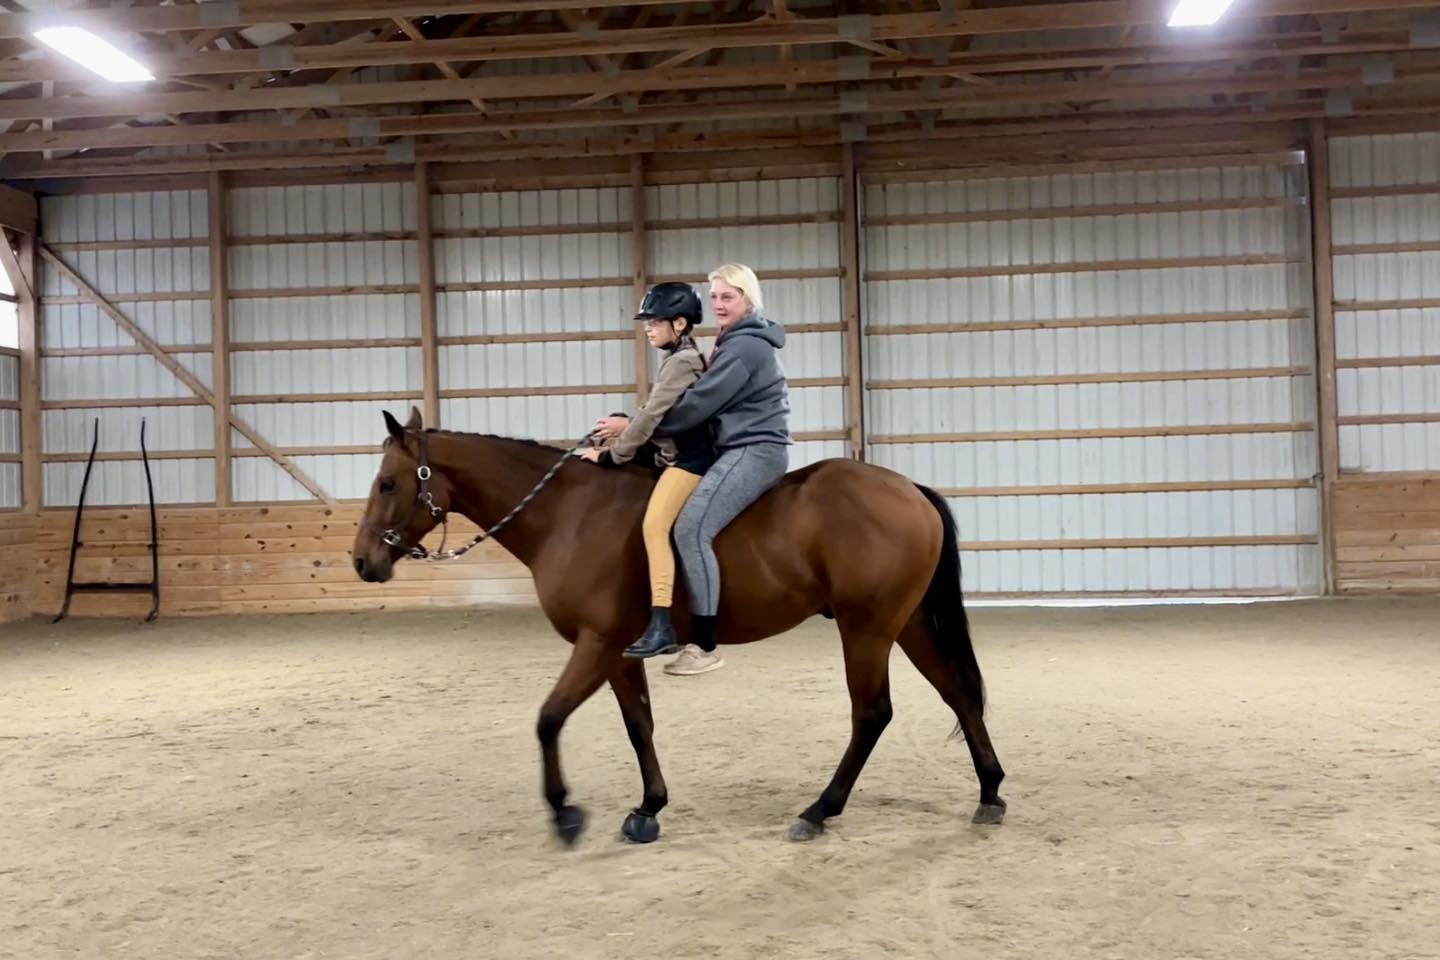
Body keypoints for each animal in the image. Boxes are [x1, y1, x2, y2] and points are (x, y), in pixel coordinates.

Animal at [351, 407, 1006, 845]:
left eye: (387, 482)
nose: (362, 562)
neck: (570, 514)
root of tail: (908, 489)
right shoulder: (619, 653)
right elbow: (638, 724)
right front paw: (649, 808)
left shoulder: (596, 644)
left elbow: (548, 718)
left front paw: (564, 812)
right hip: (906, 623)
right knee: (956, 694)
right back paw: (990, 791)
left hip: (866, 630)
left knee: (872, 714)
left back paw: (819, 810)